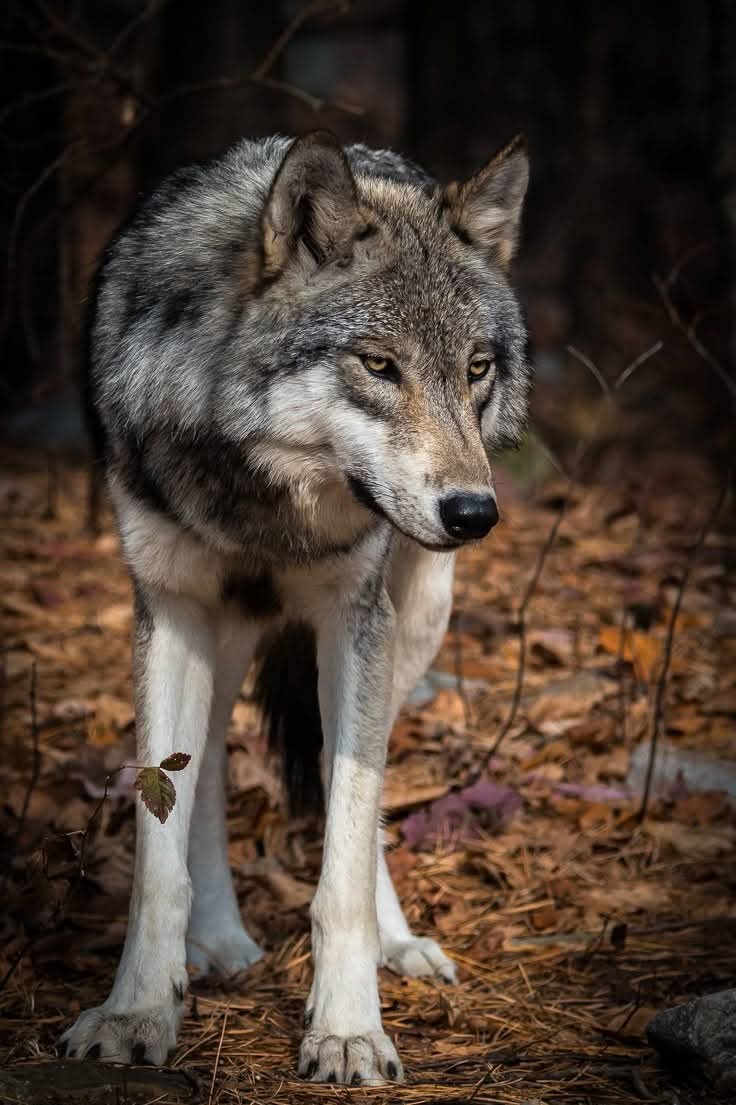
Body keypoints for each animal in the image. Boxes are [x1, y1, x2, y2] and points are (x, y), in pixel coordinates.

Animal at [61, 130, 530, 1084]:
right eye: (379, 364)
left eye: (476, 368)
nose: (474, 512)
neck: (265, 495)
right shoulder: (168, 605)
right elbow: (158, 849)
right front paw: (136, 1011)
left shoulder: (354, 621)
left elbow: (344, 848)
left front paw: (348, 1028)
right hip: (223, 634)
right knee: (204, 768)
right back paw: (218, 940)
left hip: (412, 623)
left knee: (359, 787)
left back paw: (398, 942)